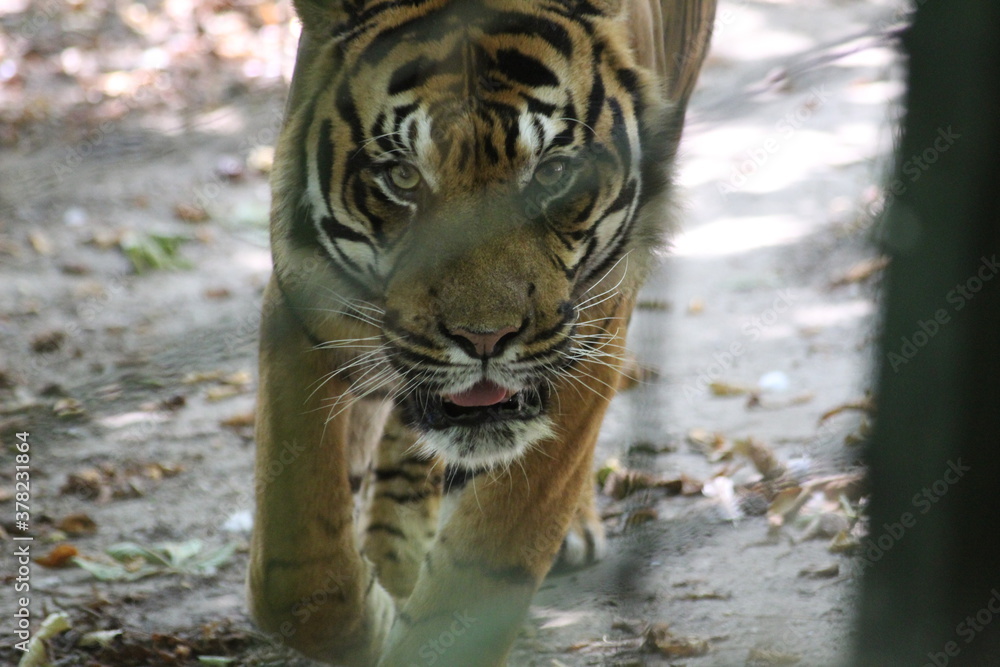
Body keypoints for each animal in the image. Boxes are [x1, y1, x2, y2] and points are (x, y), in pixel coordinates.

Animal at [247, 0, 716, 664]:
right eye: (402, 177)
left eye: (552, 173)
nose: (485, 340)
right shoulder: (301, 302)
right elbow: (295, 574)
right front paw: (374, 617)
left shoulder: (590, 332)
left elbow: (481, 572)